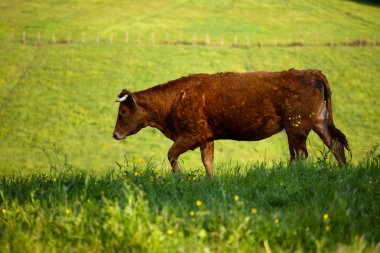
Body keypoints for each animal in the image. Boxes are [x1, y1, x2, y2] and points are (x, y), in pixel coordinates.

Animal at [113, 68, 350, 177]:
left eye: (123, 112)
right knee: (335, 145)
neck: (175, 99)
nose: (115, 135)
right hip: (319, 123)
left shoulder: (192, 135)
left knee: (299, 155)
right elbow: (207, 161)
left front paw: (178, 177)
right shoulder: (206, 138)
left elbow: (172, 154)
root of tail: (312, 72)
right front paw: (210, 181)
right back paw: (343, 173)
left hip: (296, 128)